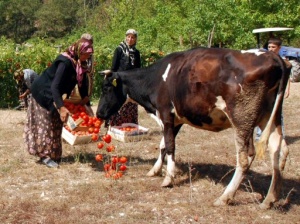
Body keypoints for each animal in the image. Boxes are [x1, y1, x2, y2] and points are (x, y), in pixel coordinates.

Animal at [96, 46, 290, 209]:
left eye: (106, 88)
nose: (98, 113)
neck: (155, 78)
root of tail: (272, 56)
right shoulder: (176, 120)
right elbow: (163, 145)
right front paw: (155, 170)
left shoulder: (166, 115)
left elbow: (170, 146)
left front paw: (168, 178)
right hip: (269, 116)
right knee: (279, 149)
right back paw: (269, 199)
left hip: (243, 118)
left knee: (245, 157)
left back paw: (225, 197)